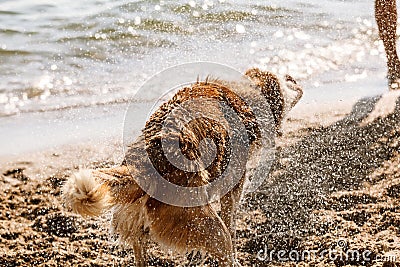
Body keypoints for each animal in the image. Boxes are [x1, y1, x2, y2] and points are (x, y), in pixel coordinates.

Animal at [61, 68, 302, 266]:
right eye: (284, 82)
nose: (293, 78)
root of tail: (148, 161)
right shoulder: (233, 188)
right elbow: (231, 220)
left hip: (138, 222)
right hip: (210, 227)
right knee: (226, 248)